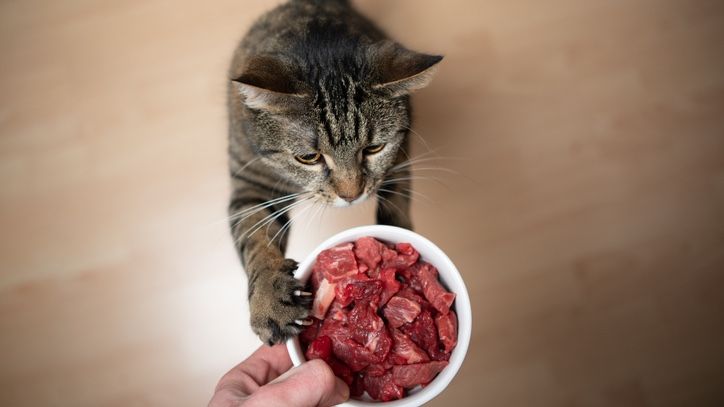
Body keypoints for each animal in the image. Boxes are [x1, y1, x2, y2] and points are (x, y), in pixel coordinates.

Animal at [226, 0, 442, 346]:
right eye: (309, 157)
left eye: (374, 148)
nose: (351, 195)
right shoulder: (251, 185)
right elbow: (255, 238)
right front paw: (270, 301)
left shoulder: (400, 158)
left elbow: (396, 206)